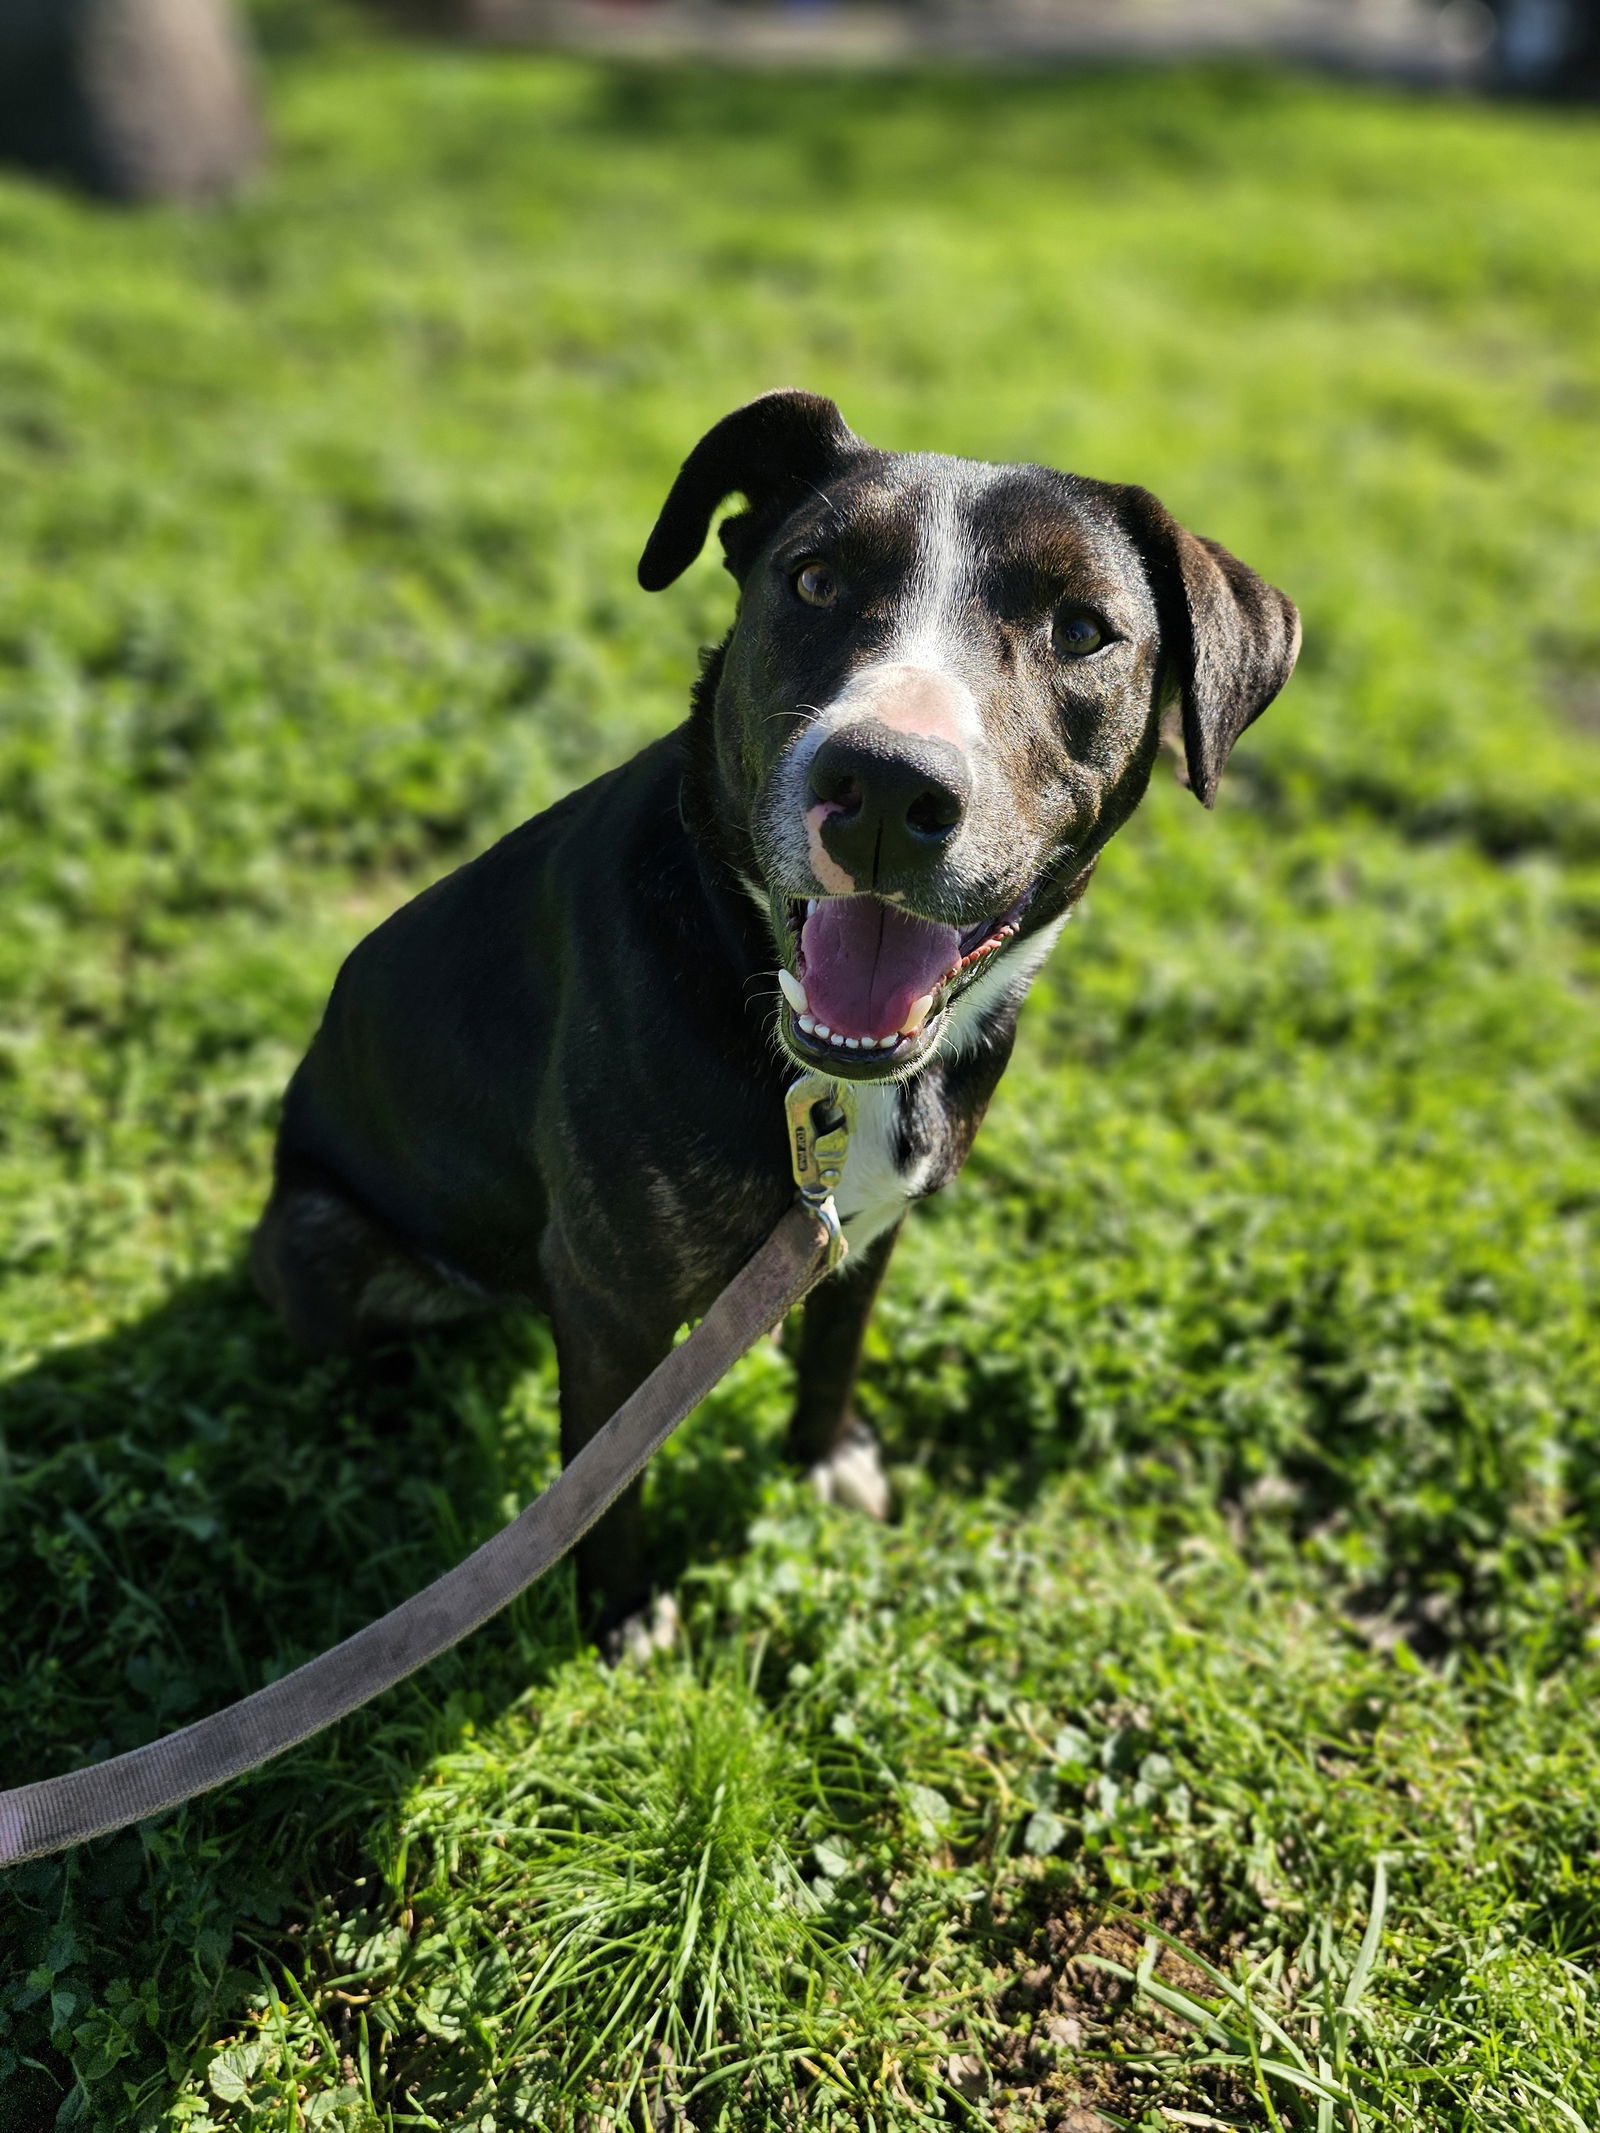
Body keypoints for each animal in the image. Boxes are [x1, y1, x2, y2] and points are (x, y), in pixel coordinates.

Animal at [253, 392, 1305, 1621]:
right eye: (813, 579)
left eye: (1084, 631)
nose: (888, 789)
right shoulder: (609, 1296)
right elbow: (601, 1480)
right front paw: (620, 1614)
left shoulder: (870, 1227)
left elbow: (836, 1347)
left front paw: (823, 1456)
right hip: (320, 1240)